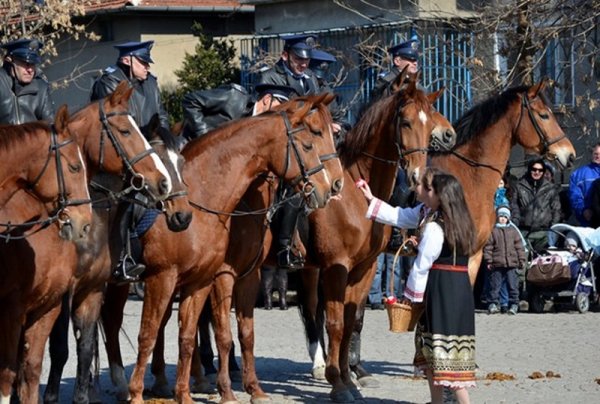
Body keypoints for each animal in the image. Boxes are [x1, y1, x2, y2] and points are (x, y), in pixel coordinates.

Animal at [0, 83, 176, 404]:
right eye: (125, 131)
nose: (163, 183)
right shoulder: (47, 299)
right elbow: (55, 351)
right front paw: (51, 395)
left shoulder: (90, 290)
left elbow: (83, 348)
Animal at [98, 92, 342, 404]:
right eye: (312, 138)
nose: (332, 185)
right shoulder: (193, 276)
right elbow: (187, 334)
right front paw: (225, 390)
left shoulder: (235, 277)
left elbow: (236, 333)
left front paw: (252, 389)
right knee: (113, 323)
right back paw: (123, 384)